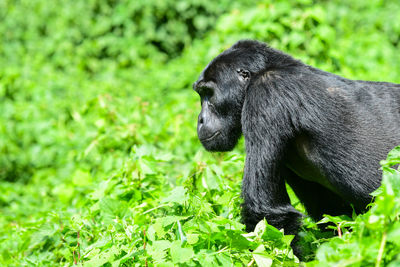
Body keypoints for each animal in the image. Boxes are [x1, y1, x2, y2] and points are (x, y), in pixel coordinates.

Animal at [192, 39, 398, 258]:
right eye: (201, 94)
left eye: (209, 93)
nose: (200, 119)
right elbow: (332, 214)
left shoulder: (266, 93)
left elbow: (265, 211)